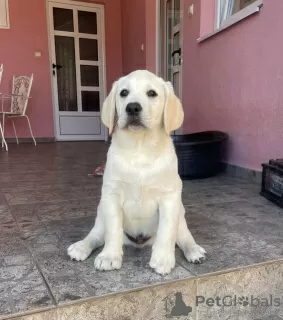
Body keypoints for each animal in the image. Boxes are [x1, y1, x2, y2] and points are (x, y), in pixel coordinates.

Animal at [69, 70, 206, 276]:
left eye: (152, 93)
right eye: (124, 93)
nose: (132, 108)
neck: (140, 147)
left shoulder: (169, 197)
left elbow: (167, 232)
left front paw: (162, 260)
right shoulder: (112, 194)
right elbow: (113, 230)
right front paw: (109, 256)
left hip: (180, 215)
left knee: (183, 237)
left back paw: (194, 250)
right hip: (101, 212)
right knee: (96, 235)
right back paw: (81, 247)